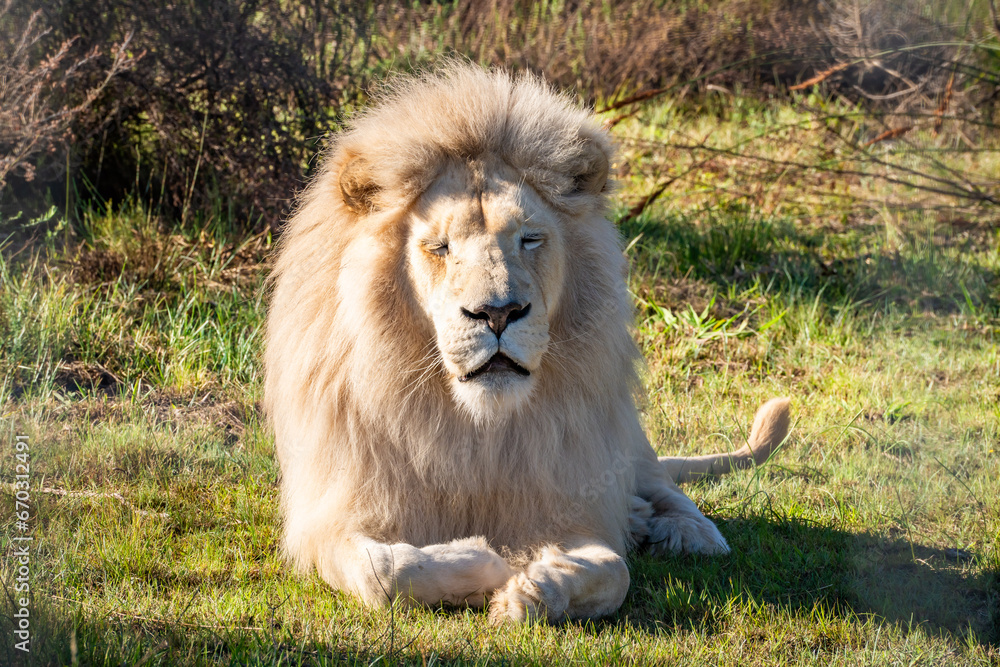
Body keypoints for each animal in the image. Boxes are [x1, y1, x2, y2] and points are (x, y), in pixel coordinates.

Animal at [264, 62, 791, 623]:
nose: (498, 313)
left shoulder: (569, 499)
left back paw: (686, 530)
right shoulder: (330, 517)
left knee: (662, 484)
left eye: (530, 239)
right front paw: (486, 562)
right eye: (440, 247)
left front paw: (530, 589)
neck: (477, 429)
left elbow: (615, 573)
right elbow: (386, 573)